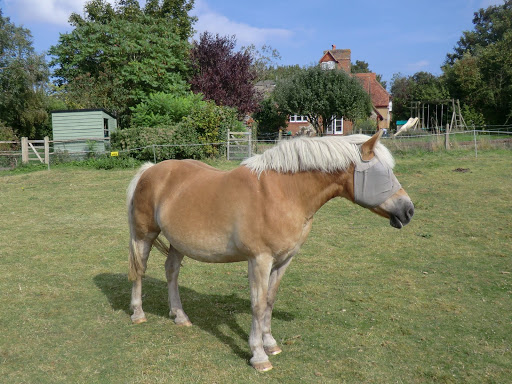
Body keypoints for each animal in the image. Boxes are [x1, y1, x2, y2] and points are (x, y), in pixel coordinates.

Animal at [126, 130, 414, 370]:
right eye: (384, 173)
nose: (408, 210)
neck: (284, 193)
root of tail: (149, 171)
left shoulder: (283, 260)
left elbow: (270, 302)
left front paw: (270, 344)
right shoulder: (259, 260)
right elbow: (258, 304)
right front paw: (258, 356)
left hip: (178, 242)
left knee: (171, 272)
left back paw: (180, 316)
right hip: (144, 236)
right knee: (140, 271)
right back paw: (138, 314)